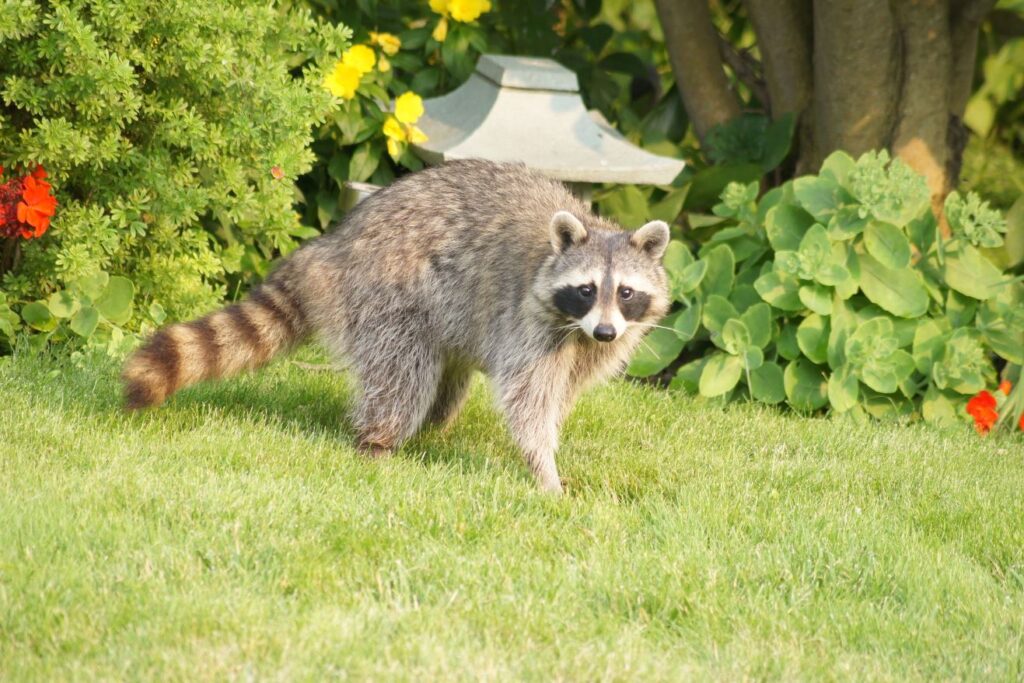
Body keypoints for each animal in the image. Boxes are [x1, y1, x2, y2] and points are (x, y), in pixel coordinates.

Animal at [123, 160, 671, 491]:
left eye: (625, 292)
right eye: (586, 289)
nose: (605, 332)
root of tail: (334, 245)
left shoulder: (594, 340)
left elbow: (563, 390)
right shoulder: (527, 319)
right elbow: (527, 398)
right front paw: (545, 471)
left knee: (446, 375)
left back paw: (433, 423)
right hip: (386, 293)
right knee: (402, 373)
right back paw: (381, 440)